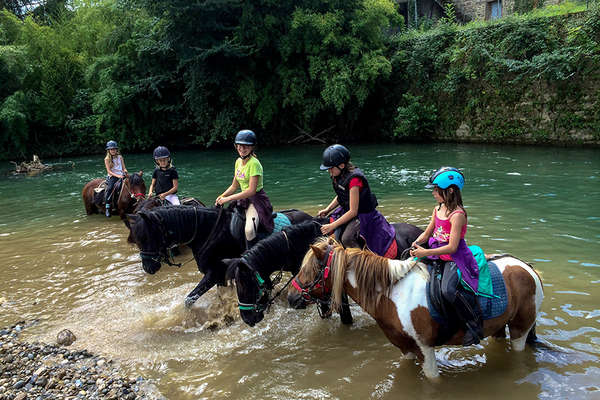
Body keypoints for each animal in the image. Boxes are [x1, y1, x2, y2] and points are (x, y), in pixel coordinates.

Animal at [127, 206, 314, 306]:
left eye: (146, 237)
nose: (148, 267)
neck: (208, 232)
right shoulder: (220, 278)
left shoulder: (213, 273)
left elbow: (189, 300)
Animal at [288, 239, 548, 380]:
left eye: (311, 269)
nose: (291, 297)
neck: (393, 294)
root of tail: (527, 267)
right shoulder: (405, 348)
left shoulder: (426, 348)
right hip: (498, 328)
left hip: (520, 329)